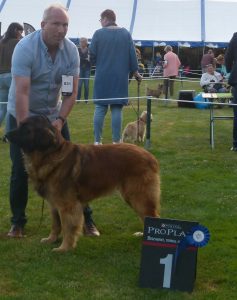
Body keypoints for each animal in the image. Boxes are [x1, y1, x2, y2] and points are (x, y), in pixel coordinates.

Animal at [6, 116, 161, 252]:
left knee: (153, 217)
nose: (6, 135)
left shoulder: (67, 206)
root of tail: (150, 156)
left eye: (25, 128)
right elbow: (55, 225)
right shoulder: (54, 204)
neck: (48, 154)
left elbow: (67, 228)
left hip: (138, 197)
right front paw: (51, 240)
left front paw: (64, 248)